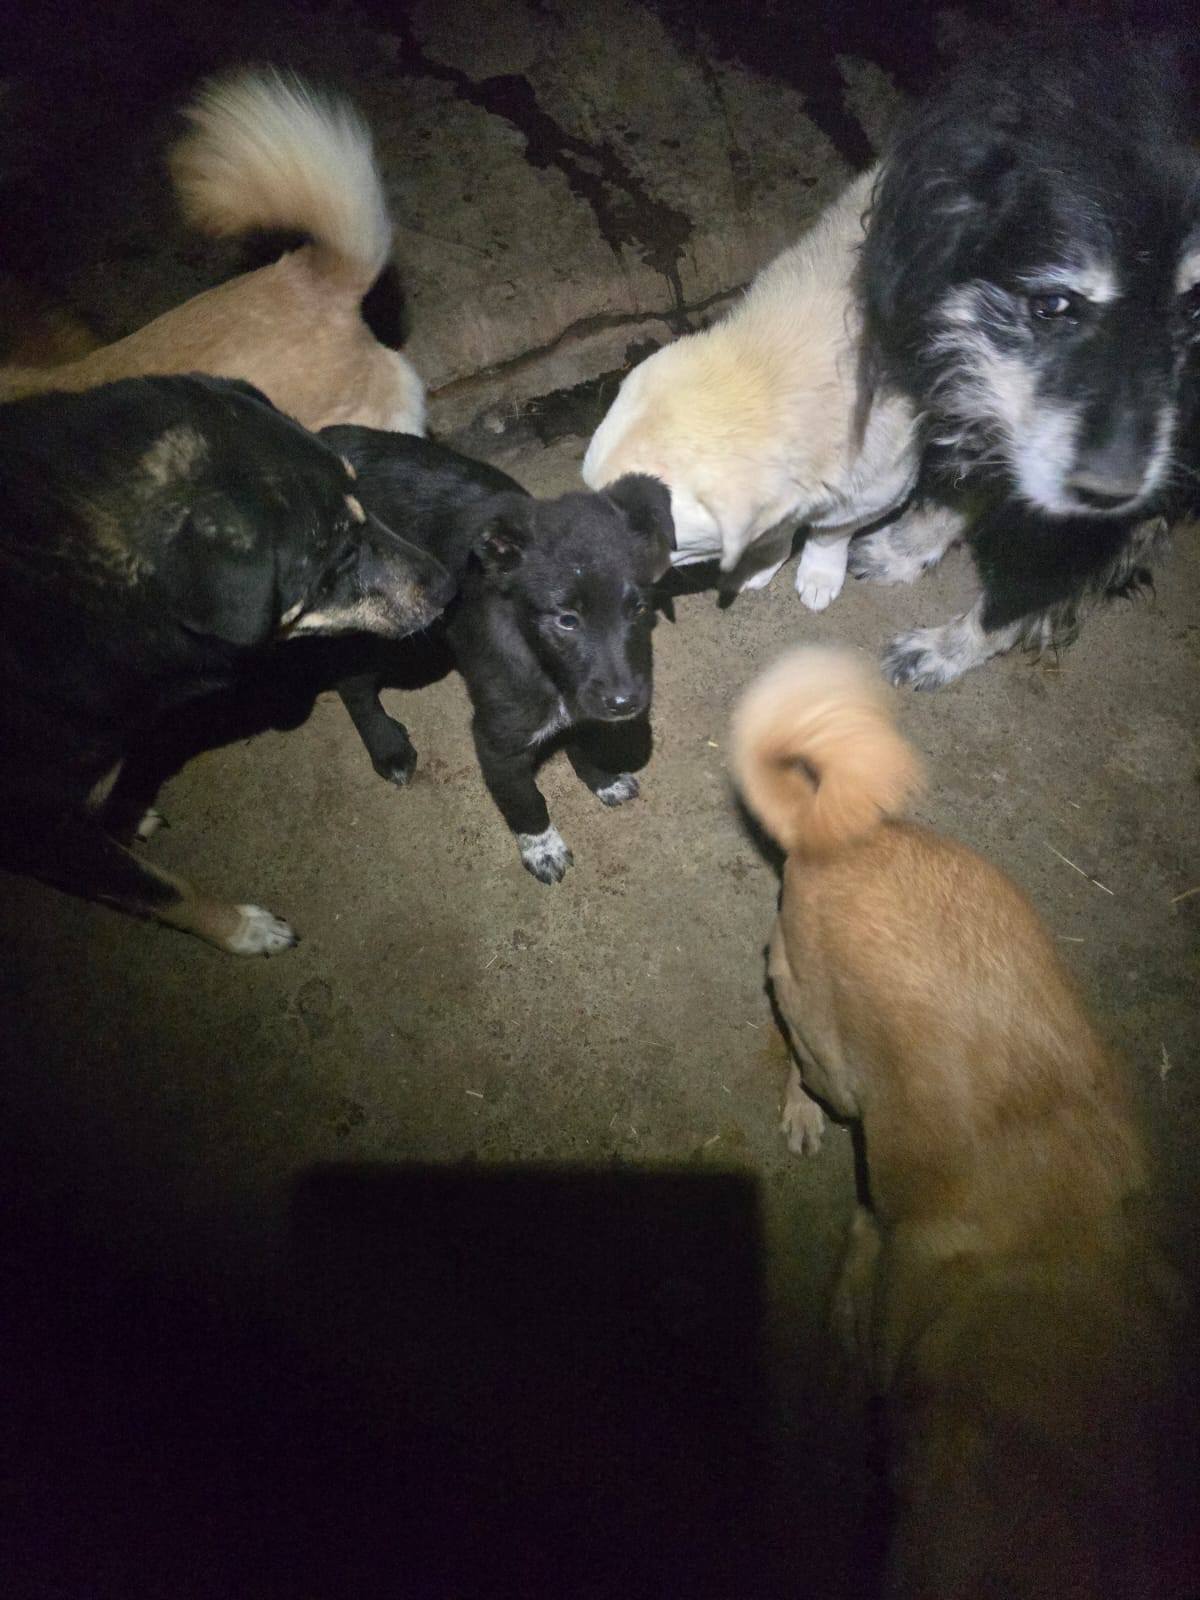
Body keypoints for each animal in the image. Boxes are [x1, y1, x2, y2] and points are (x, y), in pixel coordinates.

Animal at [0, 376, 452, 953]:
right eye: (339, 555)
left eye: (361, 499)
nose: (449, 585)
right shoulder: (36, 830)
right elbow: (165, 891)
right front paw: (244, 930)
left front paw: (124, 816)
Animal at [321, 426, 673, 883]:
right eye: (566, 620)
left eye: (639, 608)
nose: (625, 703)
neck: (545, 667)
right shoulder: (496, 742)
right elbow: (525, 799)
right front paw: (541, 847)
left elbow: (583, 744)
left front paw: (604, 779)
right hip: (400, 637)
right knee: (353, 683)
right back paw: (388, 749)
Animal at [853, 32, 1200, 686]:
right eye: (1052, 304)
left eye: (1197, 313)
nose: (1112, 492)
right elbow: (959, 493)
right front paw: (903, 551)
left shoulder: (1084, 528)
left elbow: (1012, 602)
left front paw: (946, 650)